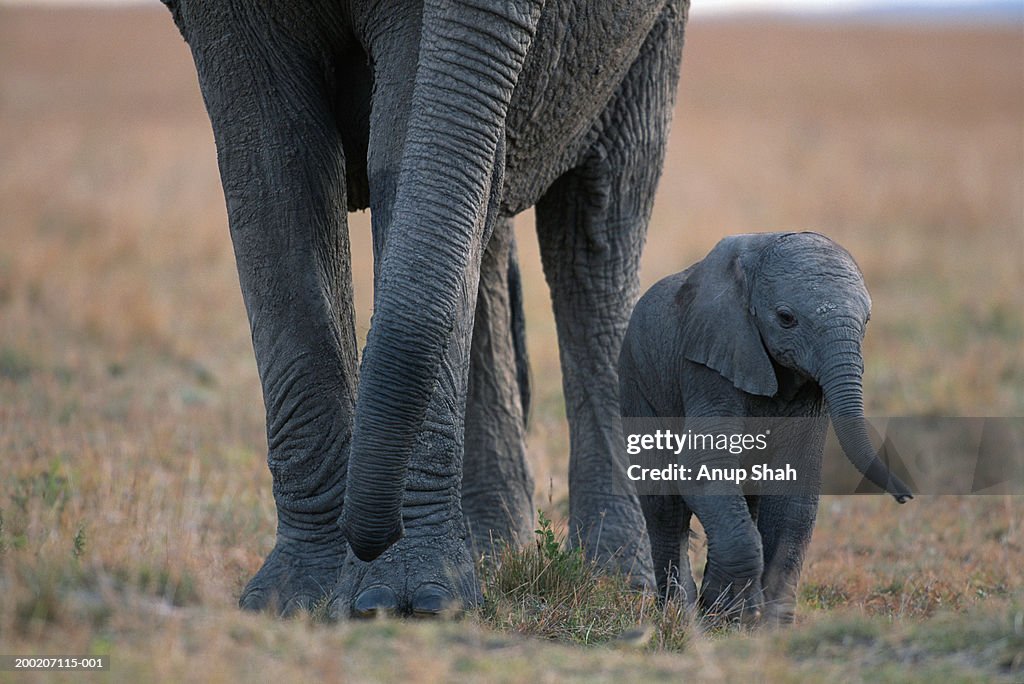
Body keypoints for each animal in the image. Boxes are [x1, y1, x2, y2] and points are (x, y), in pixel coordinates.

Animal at [161, 0, 688, 618]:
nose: (368, 534)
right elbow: (271, 170)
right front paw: (292, 600)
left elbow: (404, 138)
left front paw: (407, 601)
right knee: (496, 229)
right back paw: (495, 553)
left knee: (596, 222)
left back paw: (620, 580)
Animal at [618, 233, 909, 626]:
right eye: (786, 319)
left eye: (867, 320)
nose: (904, 496)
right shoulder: (708, 362)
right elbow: (701, 466)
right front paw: (735, 615)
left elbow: (793, 486)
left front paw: (766, 624)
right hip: (637, 381)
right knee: (665, 505)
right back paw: (681, 614)